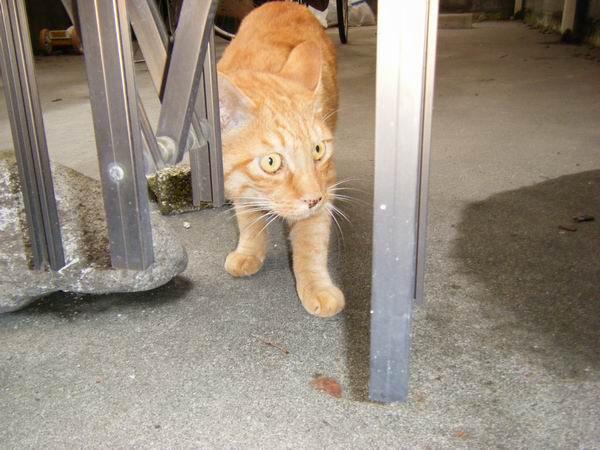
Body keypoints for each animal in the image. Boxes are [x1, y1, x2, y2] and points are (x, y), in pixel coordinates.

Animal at [217, 2, 344, 318]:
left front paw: (317, 286)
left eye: (317, 150)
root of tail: (286, 3)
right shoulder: (239, 188)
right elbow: (248, 219)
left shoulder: (327, 184)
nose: (313, 199)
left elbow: (310, 242)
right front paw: (249, 251)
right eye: (271, 162)